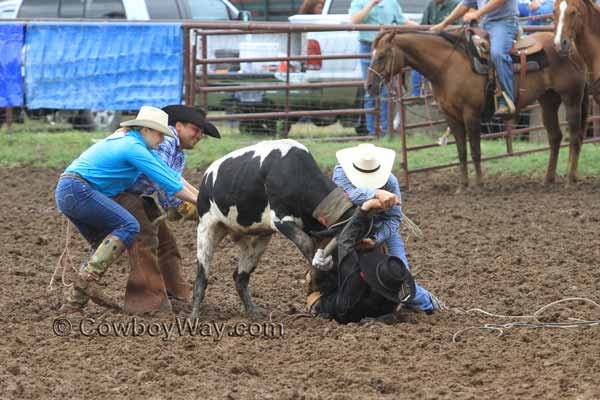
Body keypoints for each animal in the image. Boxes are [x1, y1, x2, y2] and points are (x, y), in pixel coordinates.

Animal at [364, 29, 588, 189]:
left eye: (382, 56)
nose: (369, 86)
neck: (448, 67)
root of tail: (570, 47)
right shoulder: (451, 117)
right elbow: (462, 151)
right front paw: (463, 186)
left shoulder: (470, 114)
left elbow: (475, 150)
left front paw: (479, 184)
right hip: (548, 101)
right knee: (555, 137)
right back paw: (548, 179)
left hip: (572, 99)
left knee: (575, 137)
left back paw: (570, 179)